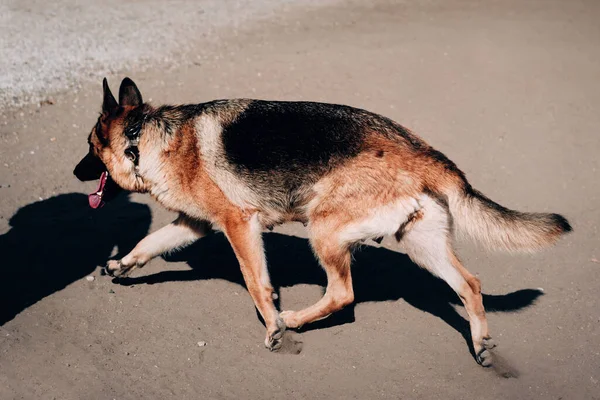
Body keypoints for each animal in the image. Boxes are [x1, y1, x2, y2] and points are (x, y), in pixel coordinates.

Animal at [74, 76, 572, 368]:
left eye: (89, 147)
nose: (75, 173)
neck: (145, 140)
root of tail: (424, 152)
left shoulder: (239, 225)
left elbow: (257, 284)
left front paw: (273, 324)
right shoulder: (195, 224)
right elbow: (148, 244)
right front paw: (121, 265)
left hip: (324, 230)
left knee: (343, 293)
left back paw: (293, 320)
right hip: (420, 244)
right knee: (469, 284)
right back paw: (481, 342)